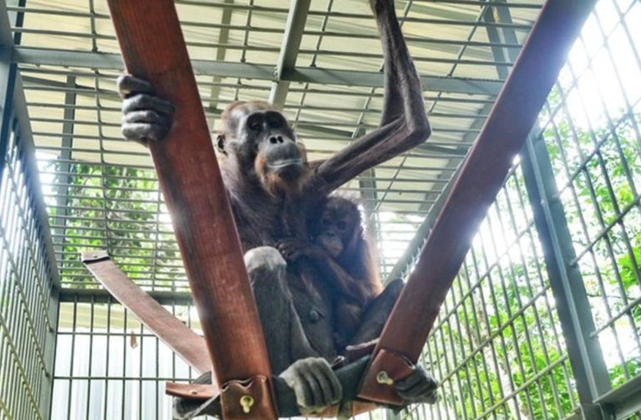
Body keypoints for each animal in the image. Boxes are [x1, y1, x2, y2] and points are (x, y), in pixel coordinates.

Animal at [118, 0, 438, 416]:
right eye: (256, 126)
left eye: (276, 122)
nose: (277, 137)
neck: (258, 190)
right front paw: (142, 118)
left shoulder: (315, 177)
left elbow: (404, 127)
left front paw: (380, 6)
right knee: (264, 262)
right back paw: (291, 377)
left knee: (395, 291)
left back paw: (393, 374)